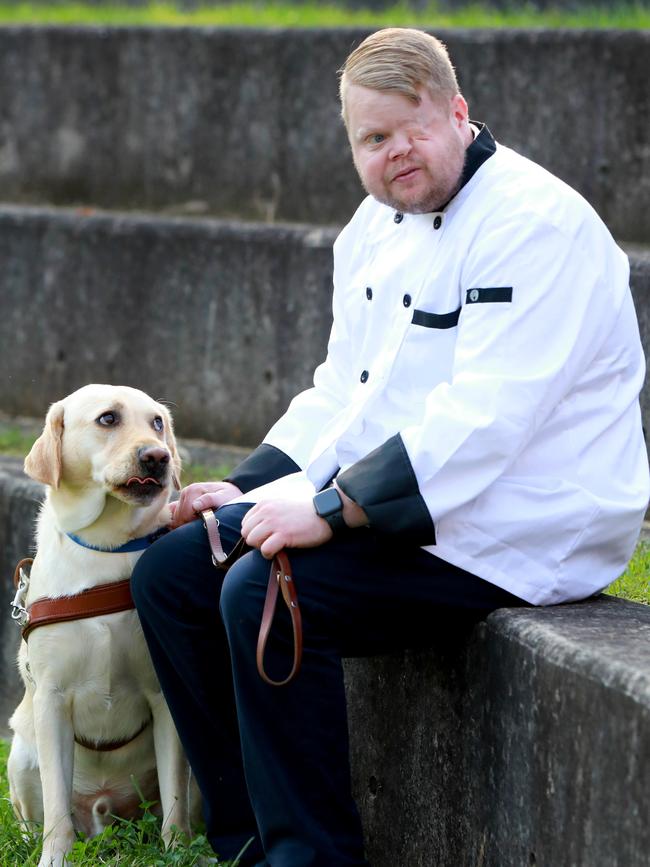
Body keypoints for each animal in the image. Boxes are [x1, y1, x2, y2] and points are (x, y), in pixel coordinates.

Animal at [8, 384, 190, 867]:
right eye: (108, 419)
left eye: (158, 423)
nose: (158, 457)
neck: (105, 548)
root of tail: (104, 813)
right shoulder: (52, 699)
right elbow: (56, 805)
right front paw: (55, 857)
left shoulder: (164, 696)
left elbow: (176, 799)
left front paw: (177, 852)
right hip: (20, 754)